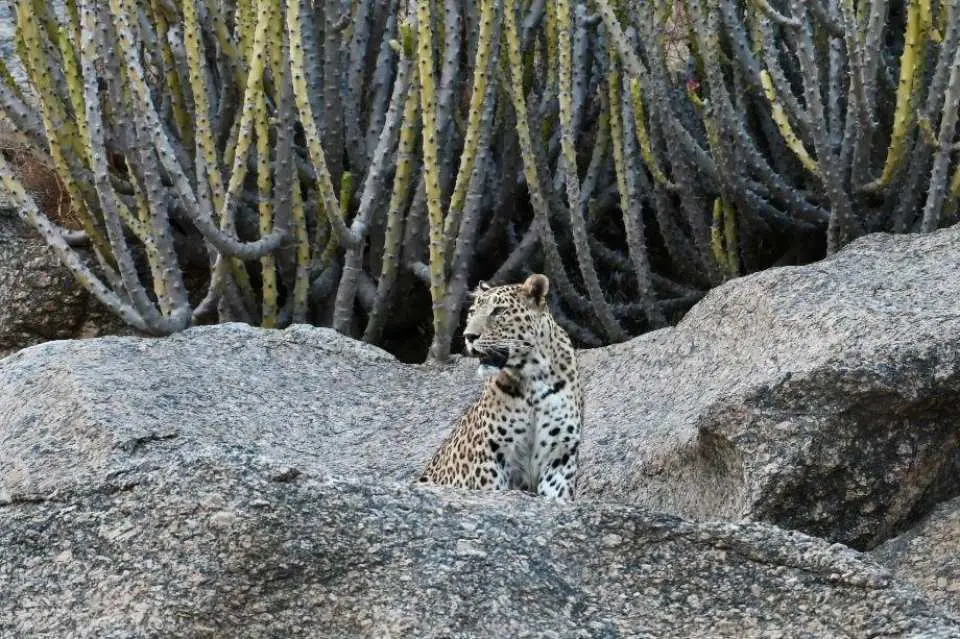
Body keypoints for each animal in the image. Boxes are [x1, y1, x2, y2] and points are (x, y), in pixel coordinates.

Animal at [417, 273, 584, 501]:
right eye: (472, 312)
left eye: (498, 311)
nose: (469, 336)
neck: (533, 377)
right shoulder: (492, 457)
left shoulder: (560, 453)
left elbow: (555, 494)